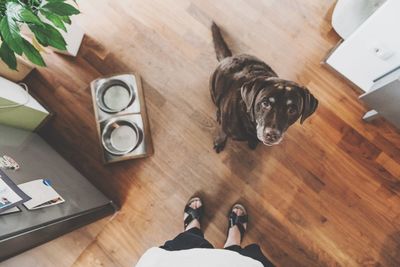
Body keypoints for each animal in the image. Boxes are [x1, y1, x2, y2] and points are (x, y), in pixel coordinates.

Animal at [209, 22, 318, 153]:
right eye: (265, 103)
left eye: (292, 110)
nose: (271, 135)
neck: (250, 123)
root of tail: (229, 57)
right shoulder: (226, 127)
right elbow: (223, 133)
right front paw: (220, 141)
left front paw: (253, 143)